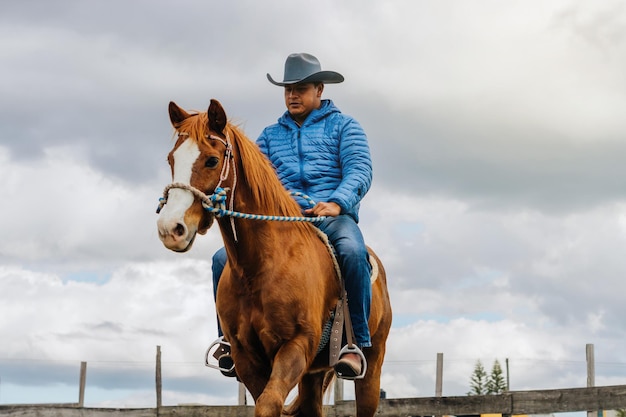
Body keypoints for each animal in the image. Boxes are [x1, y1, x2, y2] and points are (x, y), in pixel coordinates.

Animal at [157, 100, 390, 416]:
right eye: (172, 159)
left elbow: (268, 404)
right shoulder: (246, 356)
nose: (171, 229)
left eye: (212, 161)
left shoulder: (295, 346)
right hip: (313, 376)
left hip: (371, 368)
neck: (262, 267)